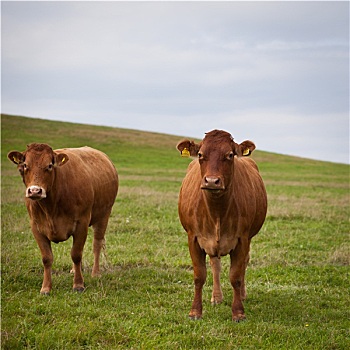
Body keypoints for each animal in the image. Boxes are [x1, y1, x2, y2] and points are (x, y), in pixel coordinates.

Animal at [6, 142, 118, 292]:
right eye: (25, 165)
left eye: (49, 165)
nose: (35, 191)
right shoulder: (36, 226)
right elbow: (47, 258)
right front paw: (46, 288)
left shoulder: (82, 223)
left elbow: (76, 254)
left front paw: (78, 285)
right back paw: (74, 270)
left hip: (103, 215)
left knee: (97, 244)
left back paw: (95, 273)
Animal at [176, 130, 266, 322]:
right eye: (201, 154)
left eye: (230, 155)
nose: (211, 181)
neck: (217, 210)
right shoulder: (194, 238)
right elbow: (199, 276)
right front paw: (195, 311)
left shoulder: (242, 239)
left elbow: (236, 276)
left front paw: (238, 312)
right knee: (215, 265)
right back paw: (216, 297)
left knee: (244, 263)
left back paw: (243, 295)